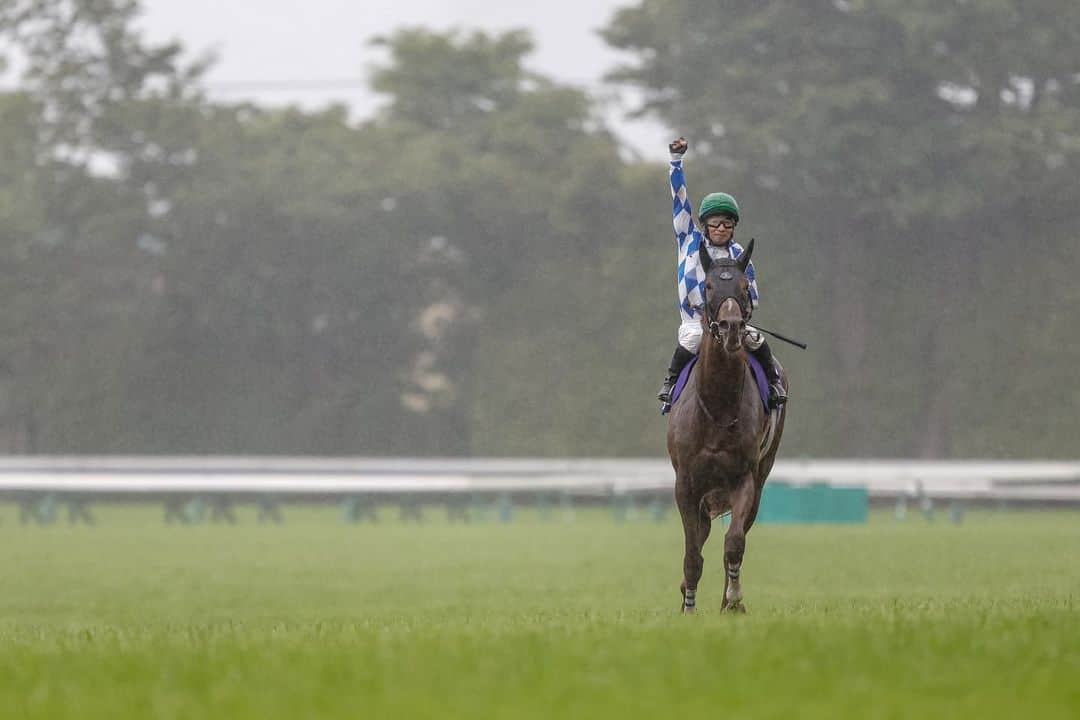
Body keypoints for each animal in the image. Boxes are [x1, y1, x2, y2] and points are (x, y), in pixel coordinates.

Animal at [665, 237, 786, 613]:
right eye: (707, 285)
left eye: (745, 287)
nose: (732, 327)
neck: (717, 406)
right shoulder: (686, 483)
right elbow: (693, 554)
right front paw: (689, 605)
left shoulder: (743, 478)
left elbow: (733, 543)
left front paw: (733, 601)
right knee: (701, 537)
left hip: (761, 476)